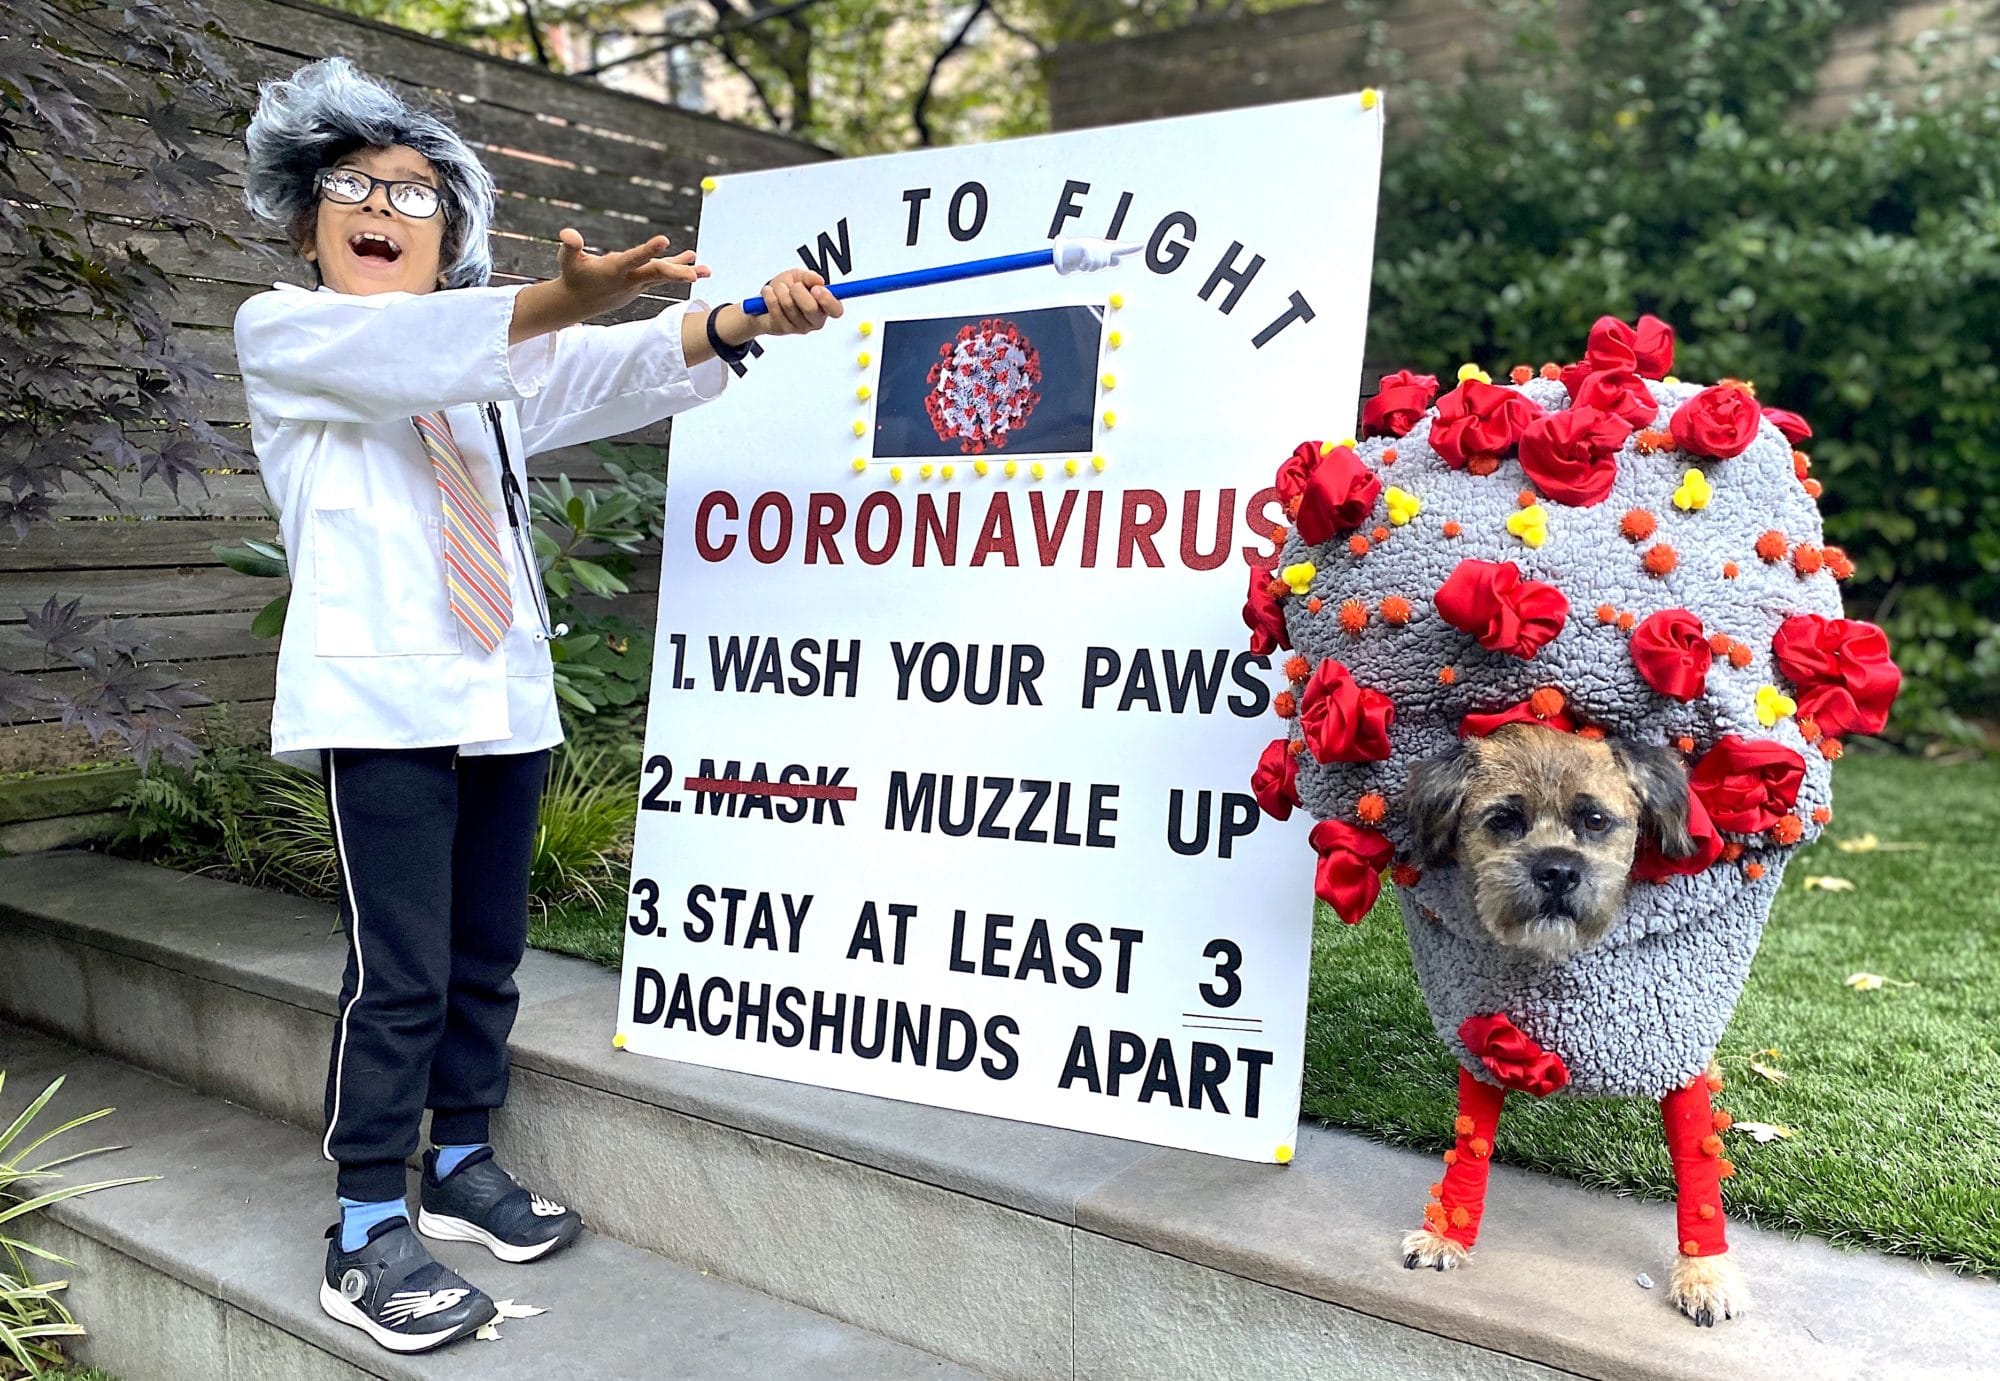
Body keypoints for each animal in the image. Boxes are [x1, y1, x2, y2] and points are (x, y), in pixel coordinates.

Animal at [1392, 720, 1736, 1320]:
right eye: (1504, 819)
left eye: (1594, 820)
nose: (1556, 869)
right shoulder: (1486, 1046)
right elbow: (1470, 1145)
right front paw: (1446, 1234)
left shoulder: (1679, 1051)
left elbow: (1700, 1171)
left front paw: (1704, 1274)